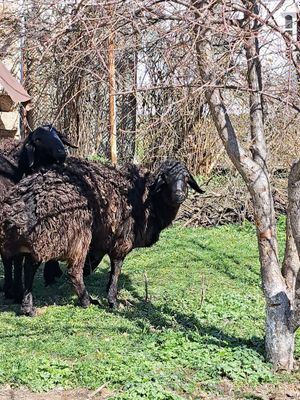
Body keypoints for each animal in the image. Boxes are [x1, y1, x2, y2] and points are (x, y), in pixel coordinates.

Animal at [0, 158, 204, 314]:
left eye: (186, 178)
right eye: (165, 178)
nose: (179, 195)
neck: (147, 198)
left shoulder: (101, 242)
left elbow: (94, 267)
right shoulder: (121, 240)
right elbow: (115, 269)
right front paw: (112, 300)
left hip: (38, 239)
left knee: (25, 264)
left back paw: (24, 303)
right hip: (70, 234)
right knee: (71, 271)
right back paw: (85, 301)